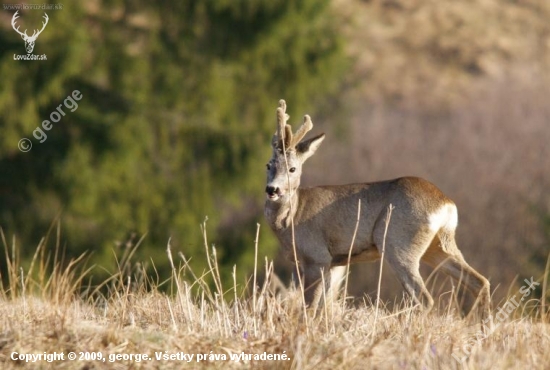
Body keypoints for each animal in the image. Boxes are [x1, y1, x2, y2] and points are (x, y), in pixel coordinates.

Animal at [266, 99, 494, 320]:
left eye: (292, 168)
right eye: (269, 165)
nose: (272, 189)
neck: (293, 216)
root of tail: (446, 204)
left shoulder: (316, 257)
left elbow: (310, 307)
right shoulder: (334, 263)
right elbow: (324, 306)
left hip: (398, 243)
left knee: (424, 298)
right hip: (439, 245)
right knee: (480, 282)